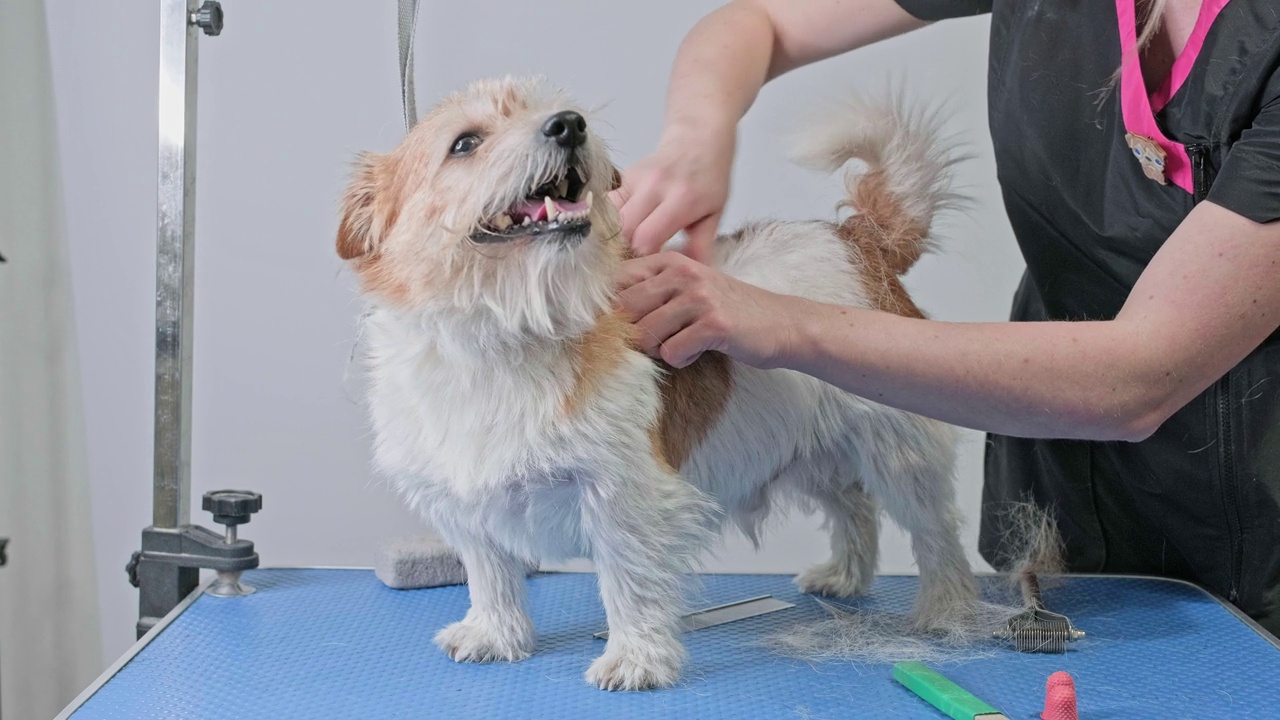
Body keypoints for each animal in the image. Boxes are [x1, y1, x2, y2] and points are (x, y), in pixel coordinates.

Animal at [335, 75, 972, 686]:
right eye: (464, 143)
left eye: (557, 110)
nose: (570, 125)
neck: (504, 335)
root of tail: (861, 241)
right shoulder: (464, 506)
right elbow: (489, 574)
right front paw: (496, 635)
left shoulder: (626, 498)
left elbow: (628, 583)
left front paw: (636, 660)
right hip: (808, 448)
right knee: (854, 507)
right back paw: (845, 576)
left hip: (902, 453)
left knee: (935, 532)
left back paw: (948, 609)